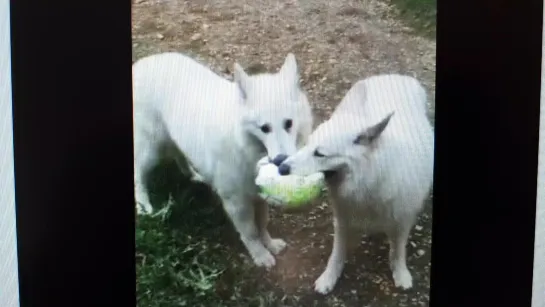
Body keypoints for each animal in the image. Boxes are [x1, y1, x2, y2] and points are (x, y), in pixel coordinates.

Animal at [131, 51, 314, 268]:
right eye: (264, 128)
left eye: (289, 123)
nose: (280, 161)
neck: (245, 146)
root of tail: (141, 63)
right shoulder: (236, 202)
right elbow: (250, 232)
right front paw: (260, 255)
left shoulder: (258, 196)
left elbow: (262, 223)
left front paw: (269, 244)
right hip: (151, 150)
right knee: (138, 175)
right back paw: (144, 206)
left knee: (179, 155)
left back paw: (193, 175)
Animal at [276, 75, 434, 296]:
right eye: (306, 146)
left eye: (320, 154)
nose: (281, 167)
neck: (372, 179)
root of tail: (392, 76)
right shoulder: (342, 218)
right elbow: (337, 253)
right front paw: (329, 277)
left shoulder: (403, 220)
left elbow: (398, 250)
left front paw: (400, 272)